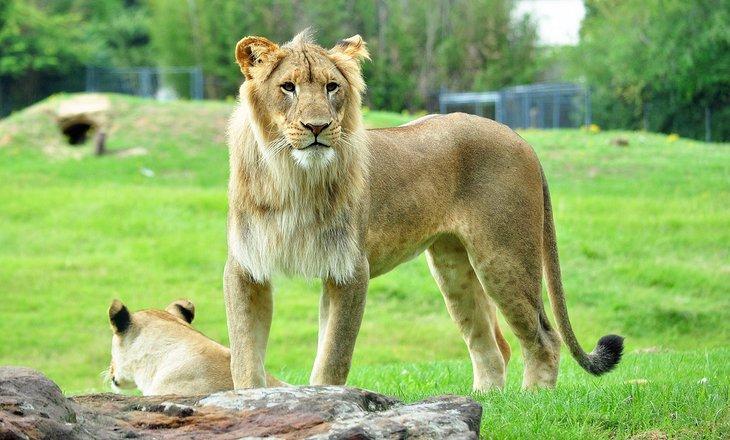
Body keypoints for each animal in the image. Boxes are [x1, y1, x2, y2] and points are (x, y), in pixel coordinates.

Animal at [223, 30, 623, 391]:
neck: (293, 178)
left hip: (504, 258)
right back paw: (486, 400)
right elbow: (244, 354)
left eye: (331, 87)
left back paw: (533, 400)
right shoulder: (246, 266)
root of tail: (519, 136)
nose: (317, 126)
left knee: (544, 338)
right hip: (453, 268)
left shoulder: (349, 269)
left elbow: (333, 357)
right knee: (491, 346)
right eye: (288, 87)